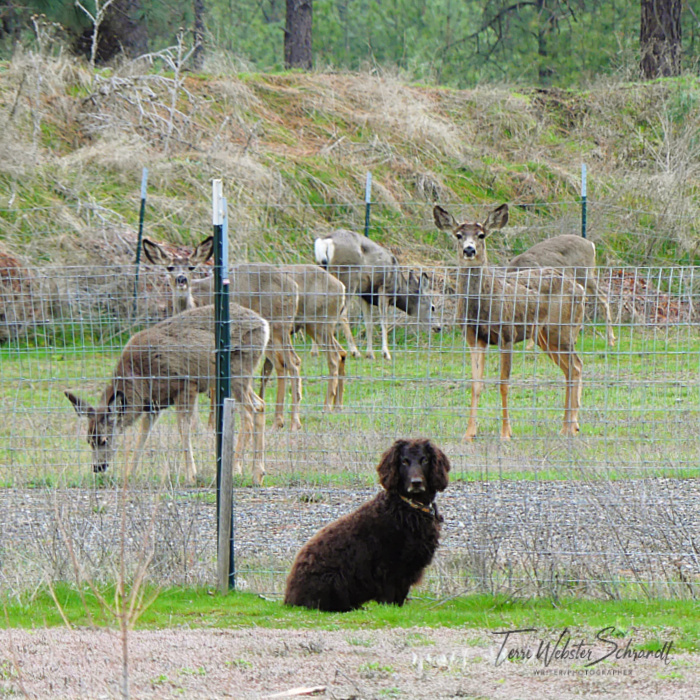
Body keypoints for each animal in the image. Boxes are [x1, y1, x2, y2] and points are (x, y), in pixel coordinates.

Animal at [65, 303, 270, 485]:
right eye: (88, 440)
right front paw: (129, 475)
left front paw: (191, 477)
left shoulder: (186, 384)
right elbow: (143, 435)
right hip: (243, 376)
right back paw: (258, 474)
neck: (140, 379)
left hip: (238, 370)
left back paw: (236, 469)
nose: (97, 467)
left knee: (248, 413)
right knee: (260, 404)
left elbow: (183, 429)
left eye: (104, 439)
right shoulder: (154, 404)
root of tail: (264, 324)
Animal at [143, 237, 303, 432]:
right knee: (285, 363)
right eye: (170, 267)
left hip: (279, 326)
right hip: (273, 334)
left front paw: (212, 424)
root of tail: (294, 286)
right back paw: (278, 421)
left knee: (292, 363)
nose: (181, 279)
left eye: (191, 267)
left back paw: (293, 422)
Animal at [314, 229, 440, 361]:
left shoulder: (364, 295)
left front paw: (370, 354)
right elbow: (384, 322)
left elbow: (369, 324)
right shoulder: (384, 290)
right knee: (342, 314)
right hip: (349, 276)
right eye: (433, 307)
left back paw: (316, 351)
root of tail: (325, 241)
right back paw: (354, 352)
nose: (438, 327)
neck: (398, 288)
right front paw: (386, 353)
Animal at [433, 204, 585, 442]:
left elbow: (504, 383)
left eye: (481, 235)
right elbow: (476, 385)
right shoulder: (473, 338)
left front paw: (506, 433)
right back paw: (568, 427)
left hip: (562, 330)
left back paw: (570, 427)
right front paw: (469, 434)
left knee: (576, 366)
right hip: (544, 337)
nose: (469, 250)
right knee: (570, 369)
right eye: (458, 235)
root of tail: (580, 289)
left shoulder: (506, 334)